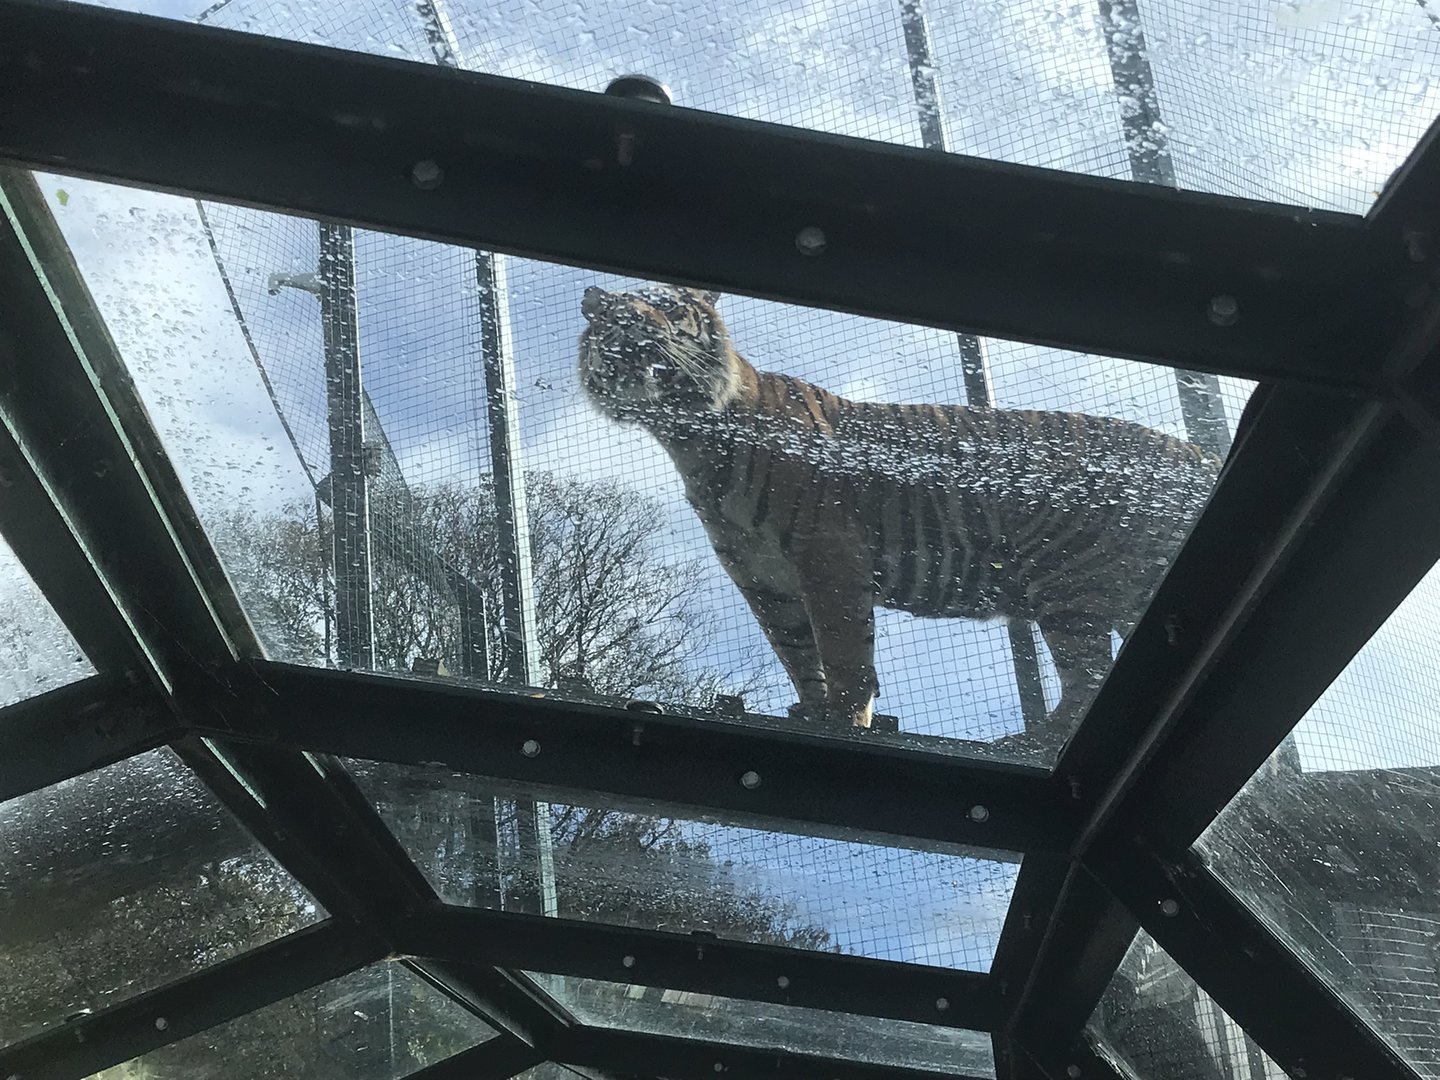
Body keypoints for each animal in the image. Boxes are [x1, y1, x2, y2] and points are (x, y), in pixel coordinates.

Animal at [577, 284, 1222, 744]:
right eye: (606, 317)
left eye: (665, 306)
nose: (619, 315)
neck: (688, 438)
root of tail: (1198, 454)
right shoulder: (760, 577)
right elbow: (796, 651)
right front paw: (811, 711)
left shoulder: (828, 555)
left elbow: (842, 651)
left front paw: (844, 718)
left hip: (1067, 579)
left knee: (1084, 679)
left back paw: (1031, 739)